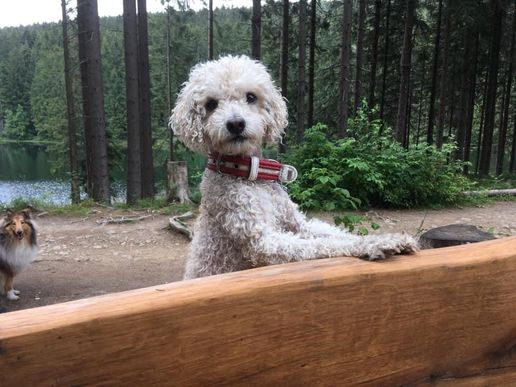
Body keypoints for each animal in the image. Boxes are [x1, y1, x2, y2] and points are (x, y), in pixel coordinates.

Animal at [170, 55, 420, 278]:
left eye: (251, 97)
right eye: (211, 104)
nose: (236, 124)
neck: (249, 176)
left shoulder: (298, 224)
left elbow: (333, 234)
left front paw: (385, 239)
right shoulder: (262, 241)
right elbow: (319, 246)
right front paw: (376, 243)